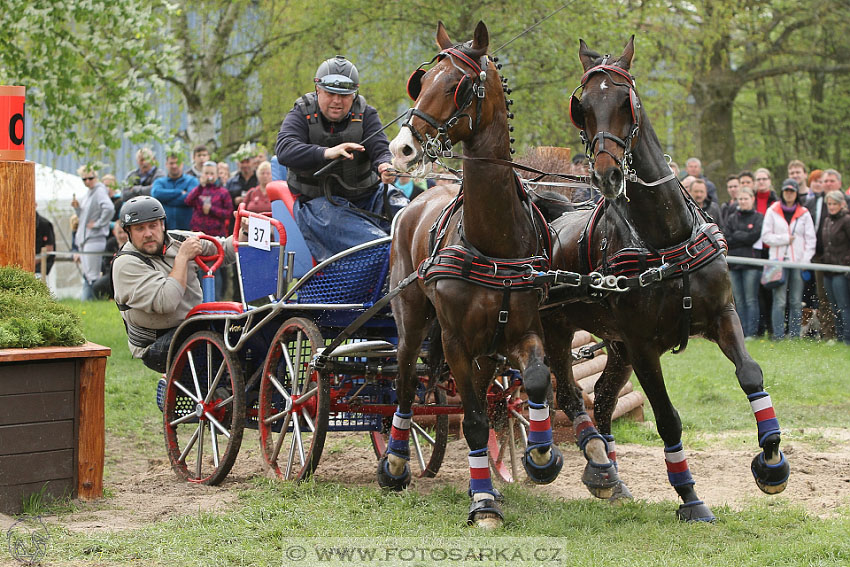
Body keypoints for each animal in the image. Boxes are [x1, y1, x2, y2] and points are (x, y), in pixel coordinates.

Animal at [384, 21, 568, 528]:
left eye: (458, 85)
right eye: (422, 81)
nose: (402, 148)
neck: (494, 239)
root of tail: (416, 203)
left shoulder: (523, 329)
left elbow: (537, 380)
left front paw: (541, 457)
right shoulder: (454, 341)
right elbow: (470, 420)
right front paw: (483, 502)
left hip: (487, 348)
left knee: (488, 396)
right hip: (412, 321)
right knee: (404, 382)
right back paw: (395, 463)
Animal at [536, 36, 788, 524]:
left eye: (626, 102)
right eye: (582, 108)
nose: (606, 174)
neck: (664, 236)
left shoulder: (722, 314)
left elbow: (751, 373)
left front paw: (771, 461)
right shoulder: (642, 344)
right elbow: (668, 417)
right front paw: (689, 496)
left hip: (614, 345)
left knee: (603, 396)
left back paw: (609, 474)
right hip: (557, 328)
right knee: (570, 395)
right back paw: (591, 463)